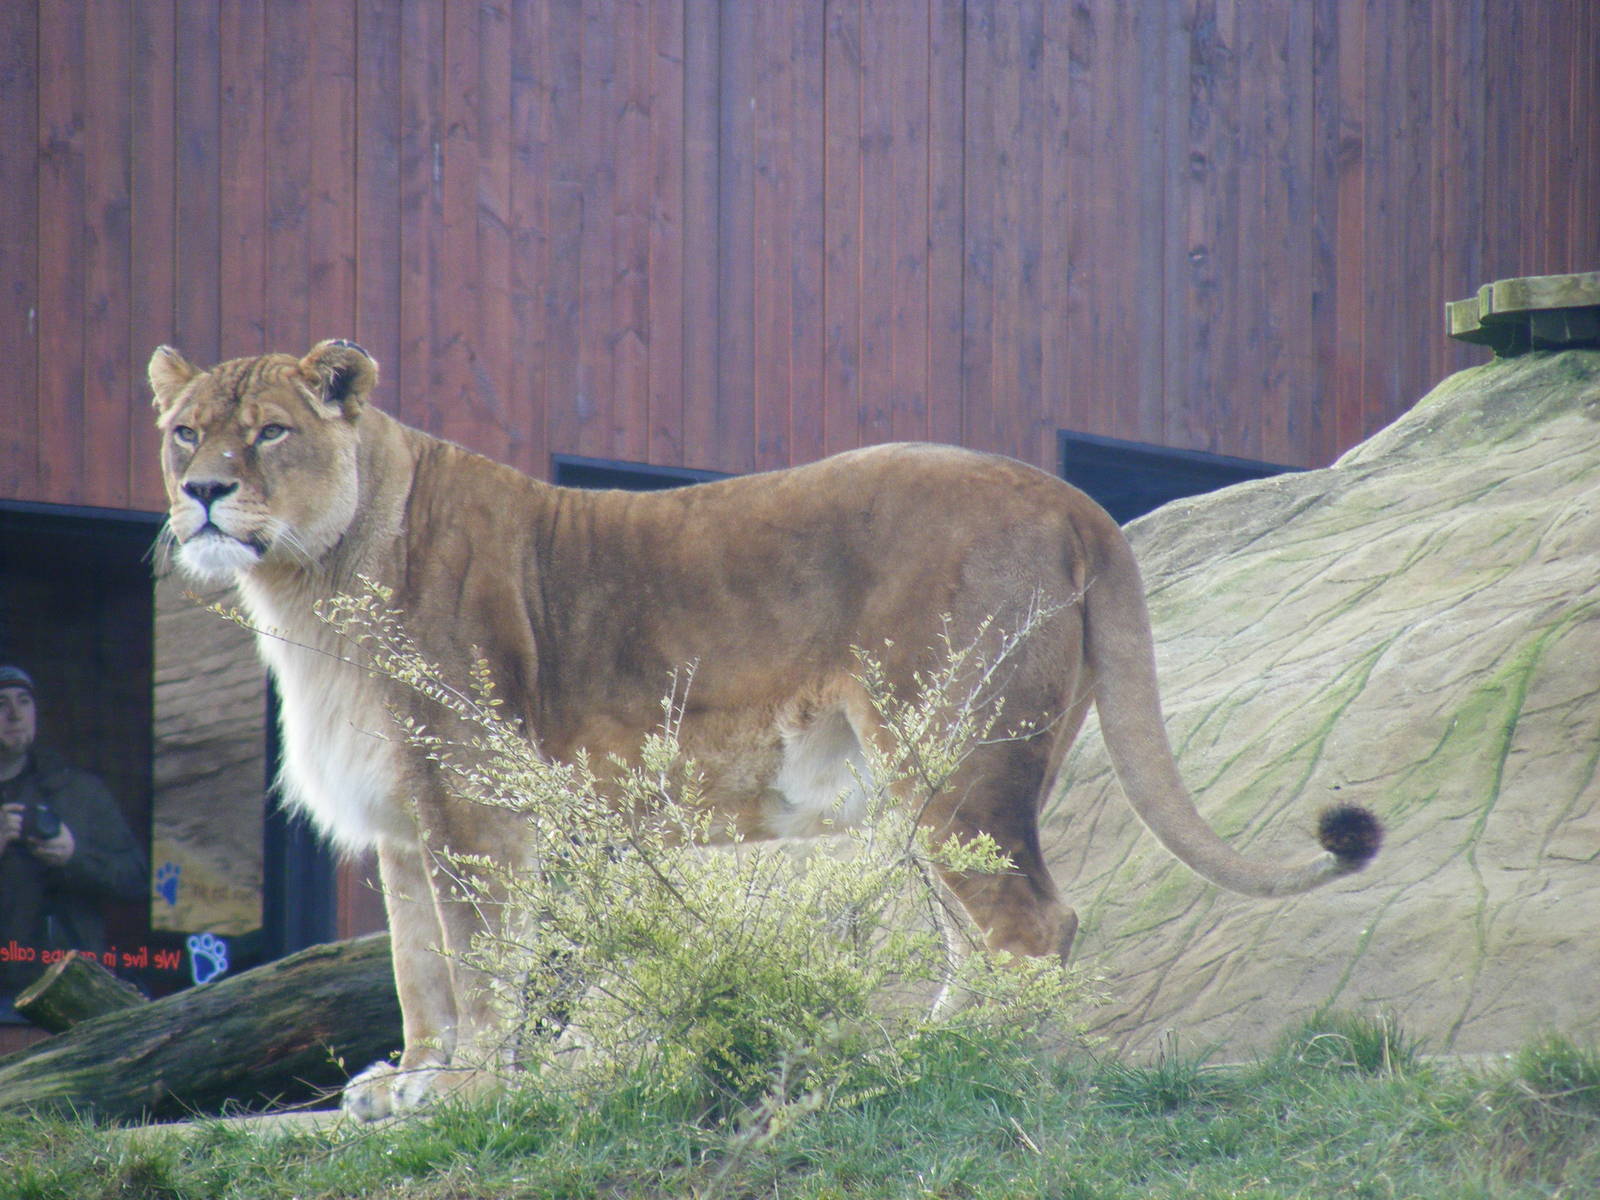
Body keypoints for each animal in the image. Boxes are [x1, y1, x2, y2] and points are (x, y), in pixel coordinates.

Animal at [149, 339, 1380, 1120]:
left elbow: (480, 961)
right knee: (976, 934)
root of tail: (1074, 501)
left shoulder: (478, 809)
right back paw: (919, 1056)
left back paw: (947, 1074)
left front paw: (462, 1088)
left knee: (1034, 924)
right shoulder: (405, 825)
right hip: (928, 785)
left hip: (952, 758)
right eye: (183, 434)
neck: (309, 586)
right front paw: (406, 1078)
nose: (203, 494)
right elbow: (419, 967)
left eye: (270, 433)